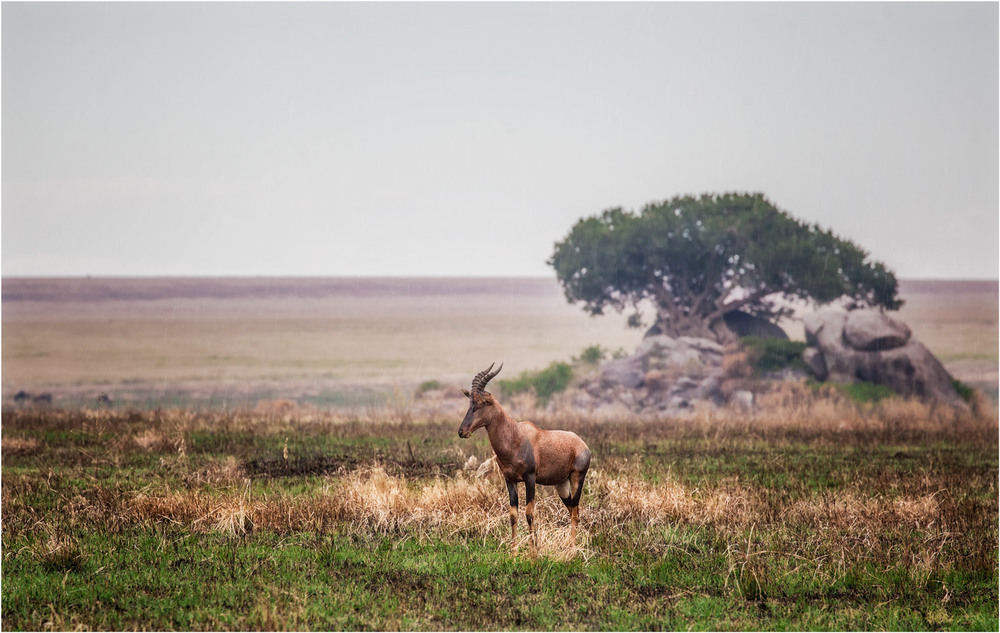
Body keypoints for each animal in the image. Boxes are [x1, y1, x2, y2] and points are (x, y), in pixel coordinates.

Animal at [462, 360, 592, 552]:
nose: (461, 431)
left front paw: (533, 551)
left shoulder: (530, 479)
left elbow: (529, 513)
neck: (516, 435)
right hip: (561, 485)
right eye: (470, 402)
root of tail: (582, 444)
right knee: (572, 510)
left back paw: (572, 549)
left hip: (577, 478)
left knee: (575, 512)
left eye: (480, 403)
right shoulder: (510, 480)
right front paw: (514, 551)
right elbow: (513, 515)